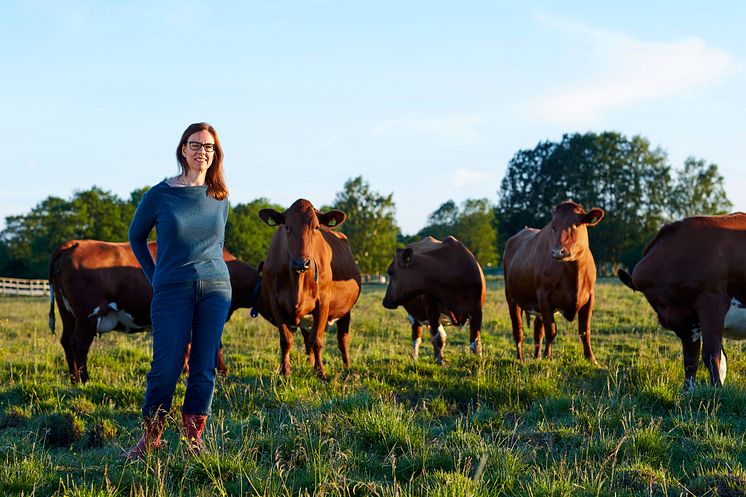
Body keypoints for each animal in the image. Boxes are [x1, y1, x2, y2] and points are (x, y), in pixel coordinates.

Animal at [46, 240, 262, 384]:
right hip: (88, 315)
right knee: (78, 344)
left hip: (68, 313)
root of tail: (73, 244)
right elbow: (215, 344)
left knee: (66, 341)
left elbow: (187, 344)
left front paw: (185, 370)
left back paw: (73, 378)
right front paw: (221, 371)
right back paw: (84, 379)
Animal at [258, 200, 358, 378]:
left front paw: (321, 373)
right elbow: (286, 340)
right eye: (287, 227)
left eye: (316, 227)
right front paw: (285, 372)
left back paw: (347, 366)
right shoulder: (275, 303)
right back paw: (310, 363)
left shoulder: (323, 303)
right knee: (307, 338)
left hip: (345, 310)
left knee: (342, 339)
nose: (301, 263)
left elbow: (317, 340)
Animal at [380, 234, 486, 362]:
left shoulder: (477, 309)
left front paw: (478, 362)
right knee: (416, 338)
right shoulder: (431, 308)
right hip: (416, 316)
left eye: (391, 272)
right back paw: (415, 360)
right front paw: (440, 362)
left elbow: (476, 343)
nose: (385, 301)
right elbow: (438, 338)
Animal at [502, 201, 600, 360]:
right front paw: (548, 357)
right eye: (553, 227)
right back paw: (520, 359)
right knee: (518, 331)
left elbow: (584, 331)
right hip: (511, 298)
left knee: (537, 330)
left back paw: (536, 357)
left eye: (575, 224)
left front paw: (591, 358)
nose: (557, 252)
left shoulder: (590, 297)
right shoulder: (545, 297)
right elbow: (551, 330)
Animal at [612, 212, 744, 388]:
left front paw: (717, 390)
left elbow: (711, 355)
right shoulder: (687, 323)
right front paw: (688, 390)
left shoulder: (712, 306)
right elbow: (691, 360)